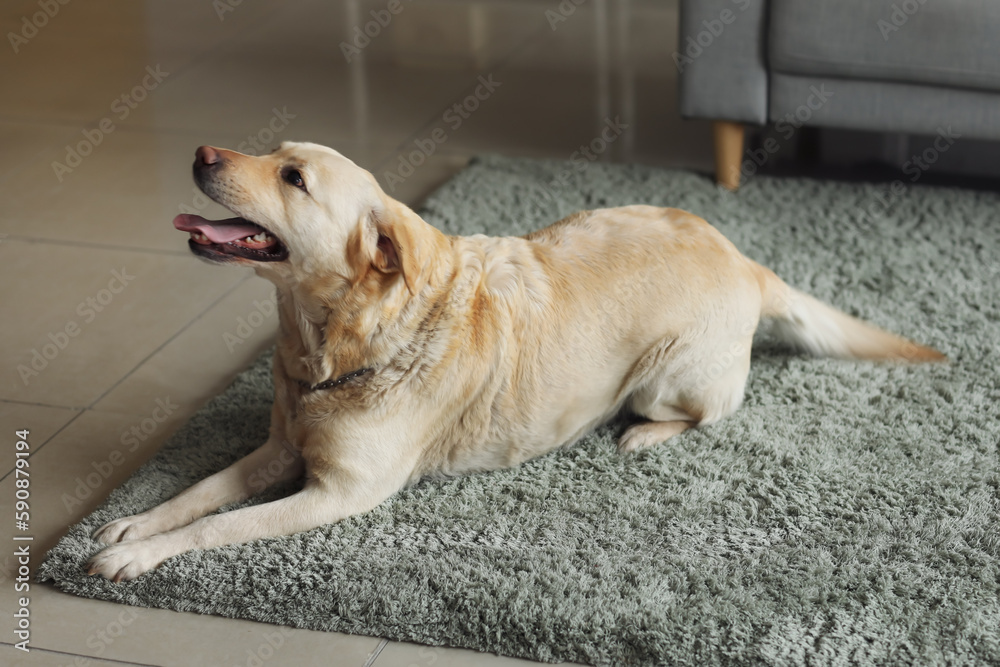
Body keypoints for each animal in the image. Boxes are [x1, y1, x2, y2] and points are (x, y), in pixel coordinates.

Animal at [88, 144, 944, 580]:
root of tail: (746, 260)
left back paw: (642, 433)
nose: (203, 149)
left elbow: (218, 527)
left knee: (707, 411)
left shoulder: (337, 492)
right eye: (270, 149)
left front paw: (143, 553)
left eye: (293, 177)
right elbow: (200, 492)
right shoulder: (275, 450)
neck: (330, 347)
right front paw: (135, 522)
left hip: (666, 375)